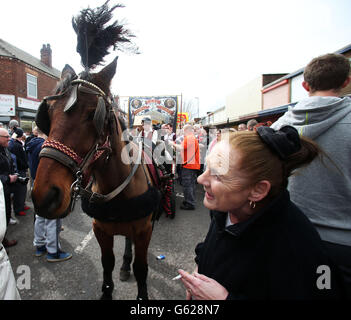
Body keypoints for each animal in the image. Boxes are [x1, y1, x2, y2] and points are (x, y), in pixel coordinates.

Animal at [31, 1, 162, 300]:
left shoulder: (145, 229)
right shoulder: (101, 230)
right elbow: (106, 264)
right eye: (49, 114)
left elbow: (142, 268)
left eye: (94, 114)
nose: (45, 196)